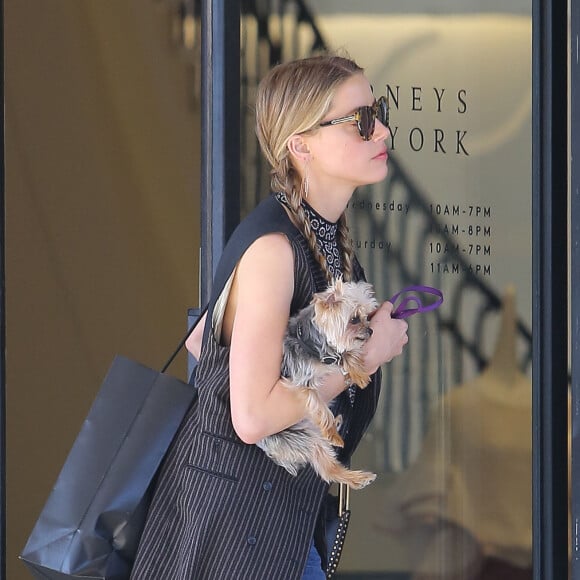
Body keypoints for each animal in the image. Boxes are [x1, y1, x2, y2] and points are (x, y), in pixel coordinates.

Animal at [256, 278, 378, 488]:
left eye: (367, 316)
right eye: (354, 319)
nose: (370, 330)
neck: (317, 346)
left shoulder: (334, 352)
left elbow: (346, 352)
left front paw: (358, 373)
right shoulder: (302, 382)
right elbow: (319, 406)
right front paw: (331, 431)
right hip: (300, 437)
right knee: (328, 468)